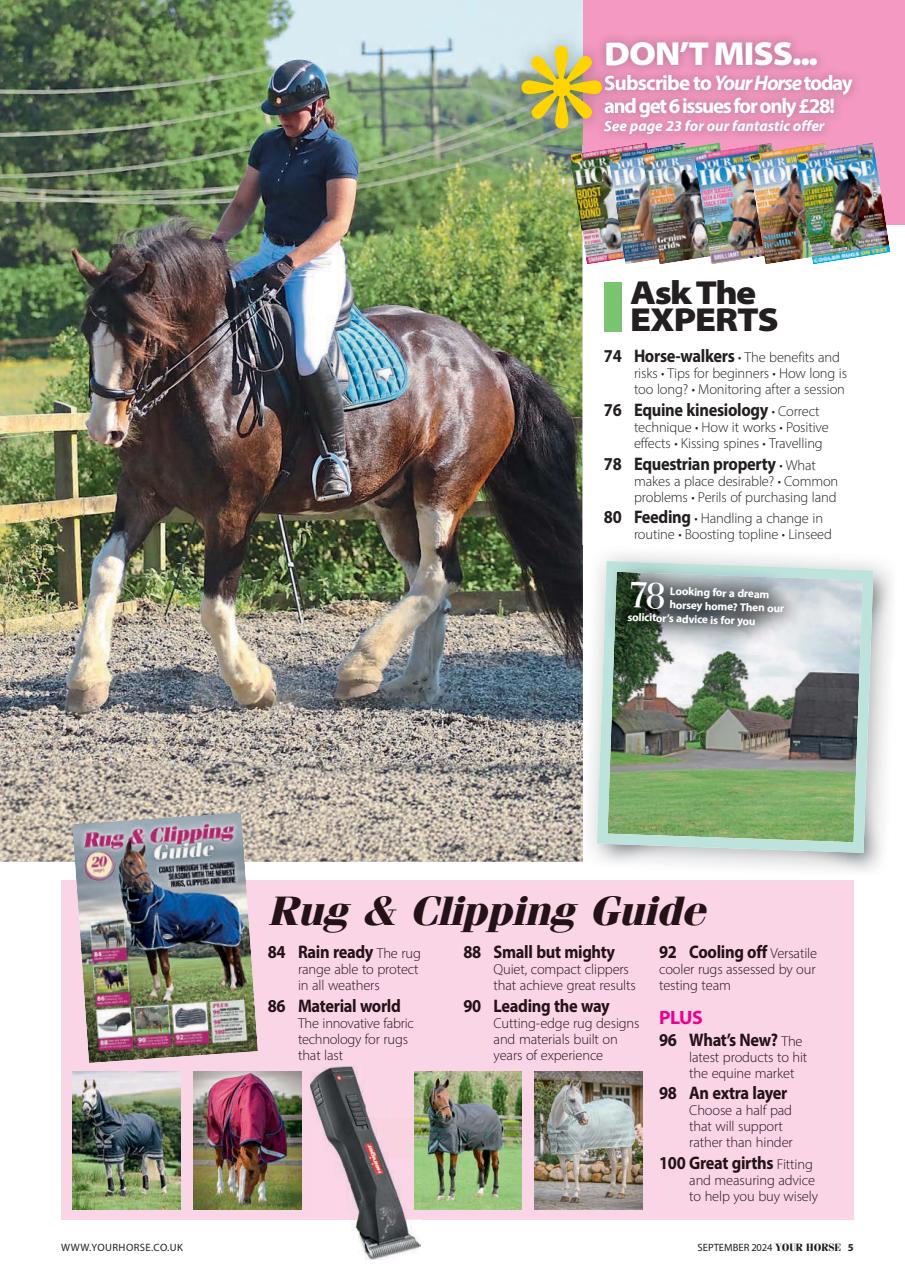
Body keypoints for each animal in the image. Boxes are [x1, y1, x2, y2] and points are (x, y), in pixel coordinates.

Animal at [66, 219, 581, 717]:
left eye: (140, 334)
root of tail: (486, 355)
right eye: (88, 329)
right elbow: (104, 571)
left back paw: (362, 666)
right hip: (396, 503)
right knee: (428, 577)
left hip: (444, 487)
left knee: (438, 575)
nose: (103, 429)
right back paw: (413, 685)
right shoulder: (142, 494)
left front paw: (253, 685)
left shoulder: (231, 510)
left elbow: (214, 605)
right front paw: (86, 681)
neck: (203, 382)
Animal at [119, 839, 245, 1002]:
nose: (147, 886)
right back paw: (224, 983)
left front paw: (167, 994)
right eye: (130, 862)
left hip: (227, 939)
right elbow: (152, 967)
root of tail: (231, 904)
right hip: (217, 940)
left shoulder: (161, 941)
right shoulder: (149, 943)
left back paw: (233, 985)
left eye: (145, 864)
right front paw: (154, 993)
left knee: (230, 959)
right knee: (223, 959)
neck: (149, 904)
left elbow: (165, 967)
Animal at [206, 1073, 287, 1205]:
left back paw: (232, 1187)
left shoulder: (266, 1143)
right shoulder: (235, 1137)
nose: (242, 1201)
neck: (253, 1099)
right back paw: (221, 1189)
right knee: (220, 1161)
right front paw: (238, 1191)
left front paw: (262, 1197)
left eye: (252, 1171)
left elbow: (263, 1167)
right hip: (217, 1136)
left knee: (230, 1160)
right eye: (237, 1171)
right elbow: (234, 1162)